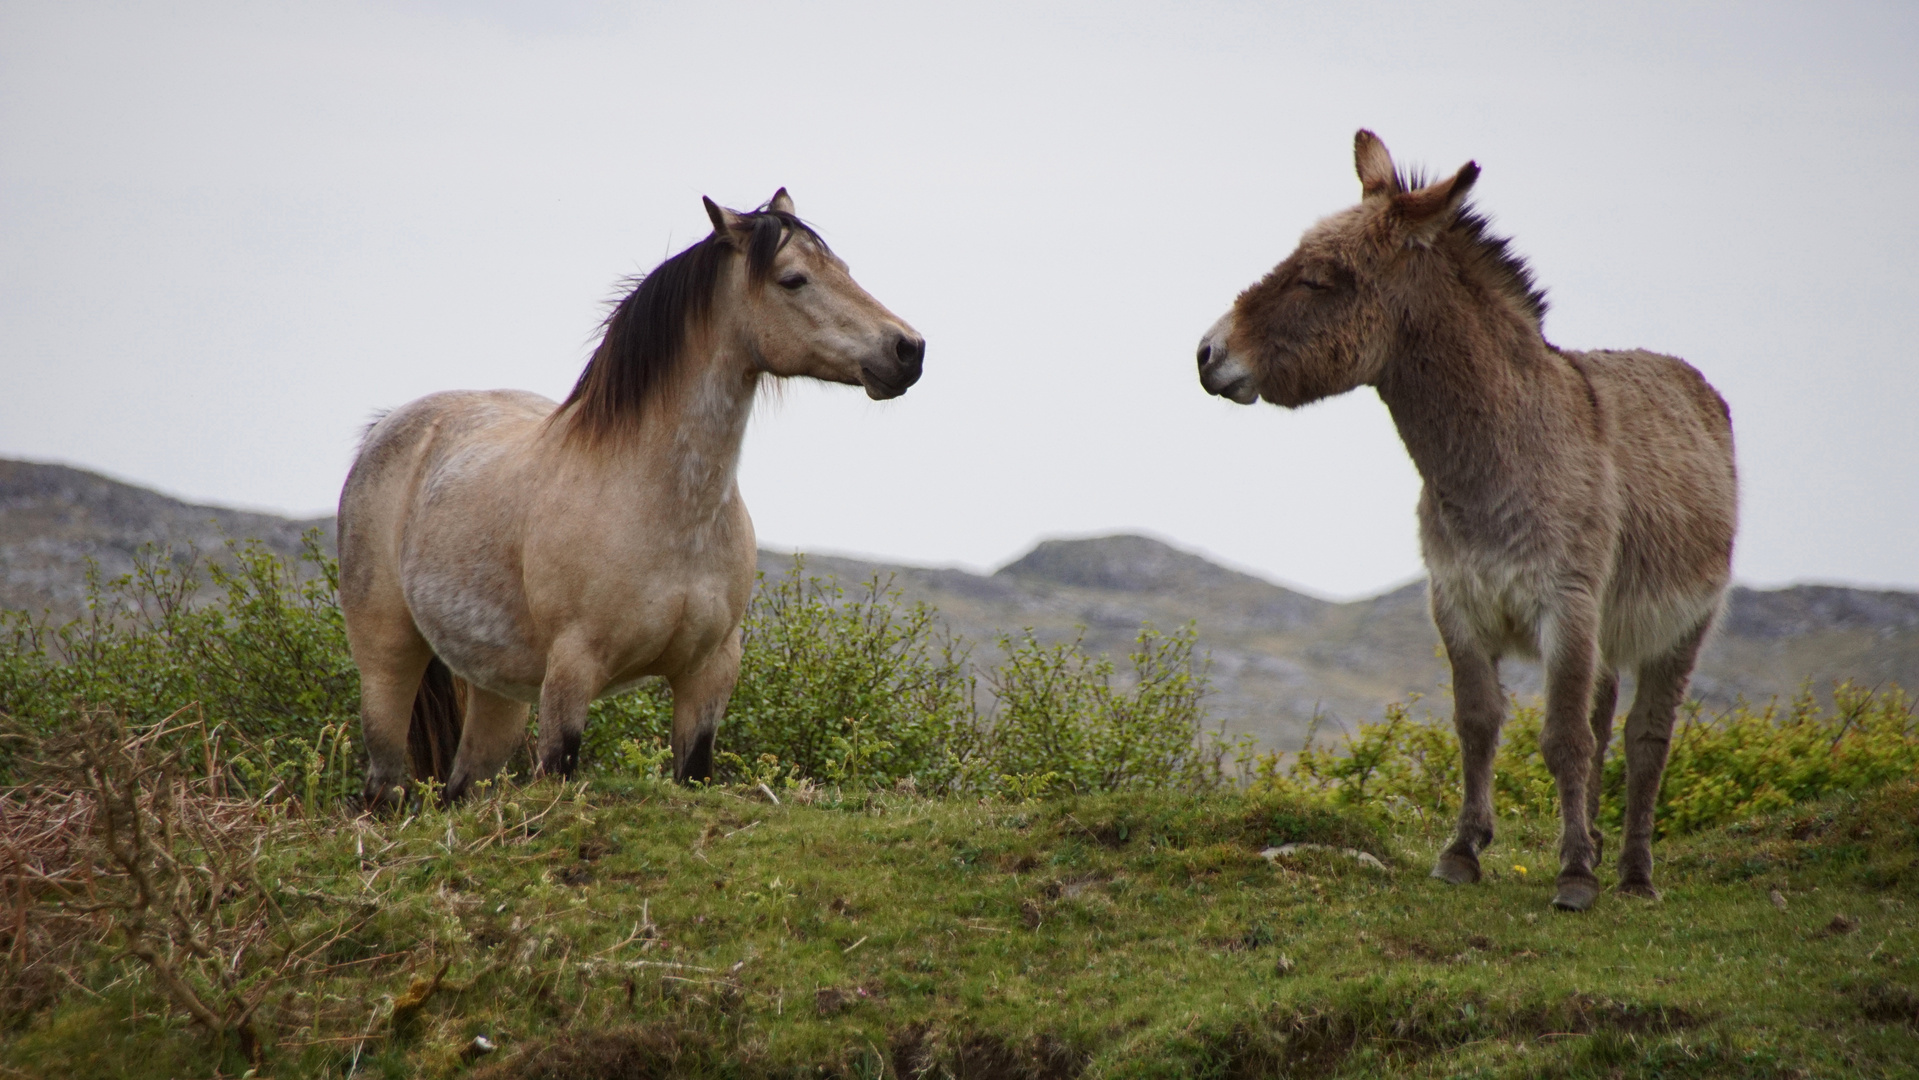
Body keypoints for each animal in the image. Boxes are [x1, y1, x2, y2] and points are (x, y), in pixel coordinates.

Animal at [339, 189, 928, 805]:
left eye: (843, 269)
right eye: (793, 280)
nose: (907, 349)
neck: (666, 506)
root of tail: (389, 428)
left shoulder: (708, 675)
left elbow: (694, 770)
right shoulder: (572, 673)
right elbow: (558, 768)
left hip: (498, 688)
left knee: (461, 787)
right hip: (387, 659)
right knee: (383, 784)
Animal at [1189, 135, 1734, 913]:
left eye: (1320, 279)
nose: (1205, 354)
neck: (1493, 462)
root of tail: (1691, 379)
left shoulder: (1565, 606)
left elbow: (1561, 737)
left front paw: (1572, 875)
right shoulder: (1456, 602)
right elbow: (1478, 725)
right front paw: (1463, 852)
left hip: (1681, 626)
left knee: (1644, 739)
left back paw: (1631, 874)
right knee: (1605, 721)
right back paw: (1602, 847)